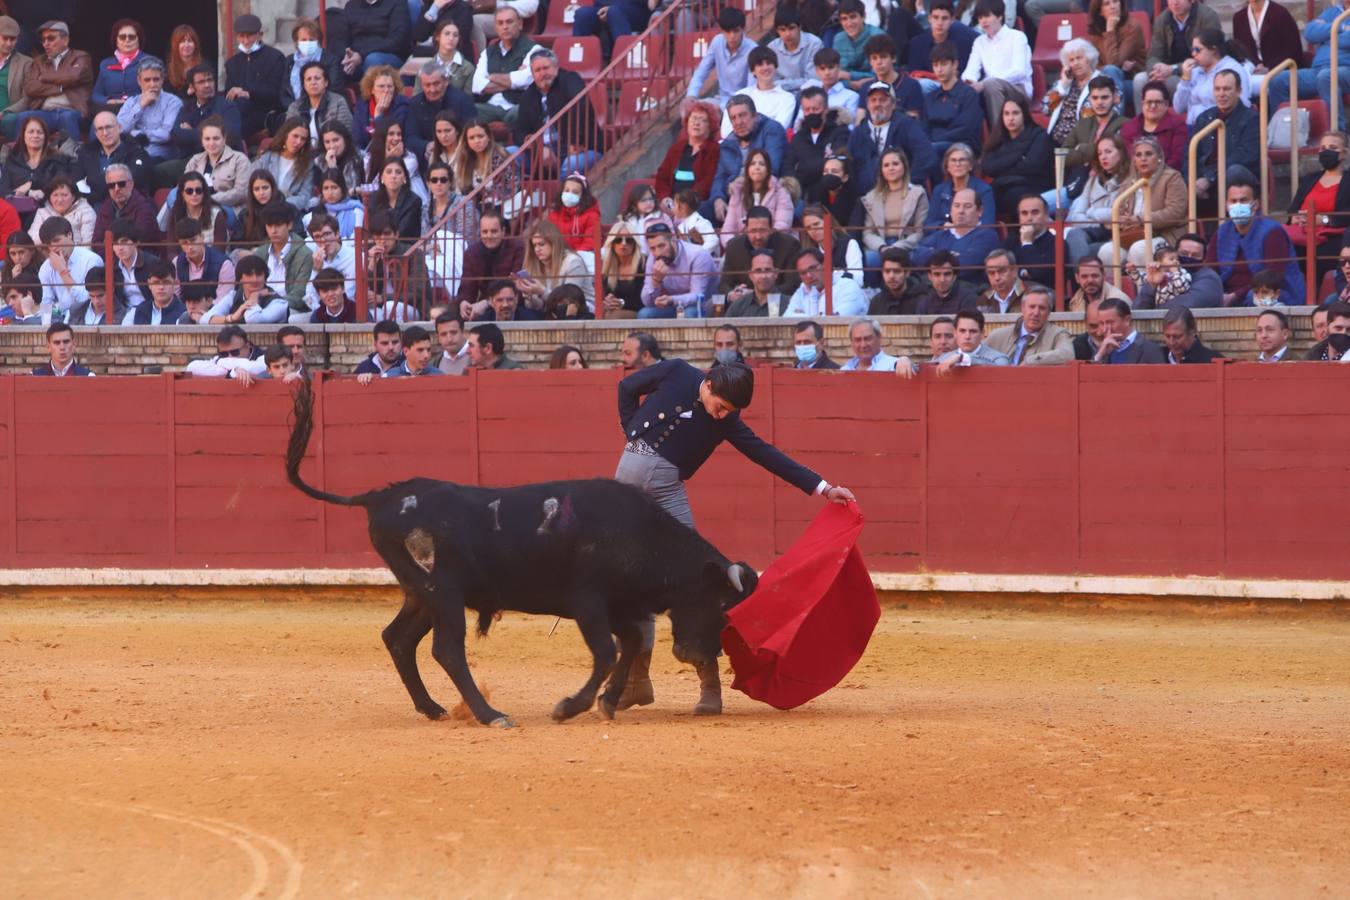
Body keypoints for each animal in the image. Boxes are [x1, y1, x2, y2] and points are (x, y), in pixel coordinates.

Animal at [283, 383, 756, 728]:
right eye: (720, 604)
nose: (699, 654)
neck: (640, 532)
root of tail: (381, 496)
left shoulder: (622, 605)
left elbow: (631, 643)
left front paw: (607, 702)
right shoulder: (588, 602)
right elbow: (606, 651)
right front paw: (569, 707)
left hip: (421, 593)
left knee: (398, 639)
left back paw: (434, 709)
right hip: (443, 592)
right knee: (447, 650)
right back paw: (491, 715)